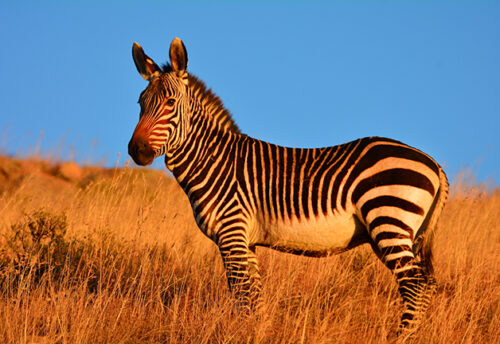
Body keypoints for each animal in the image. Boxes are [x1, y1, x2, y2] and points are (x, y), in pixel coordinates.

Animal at [127, 38, 448, 336]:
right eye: (140, 104)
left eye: (170, 103)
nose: (136, 150)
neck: (214, 160)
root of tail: (434, 164)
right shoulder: (246, 241)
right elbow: (253, 297)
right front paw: (254, 331)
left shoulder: (231, 234)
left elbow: (240, 293)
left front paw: (240, 333)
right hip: (403, 232)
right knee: (426, 284)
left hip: (388, 219)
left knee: (414, 285)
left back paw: (403, 336)